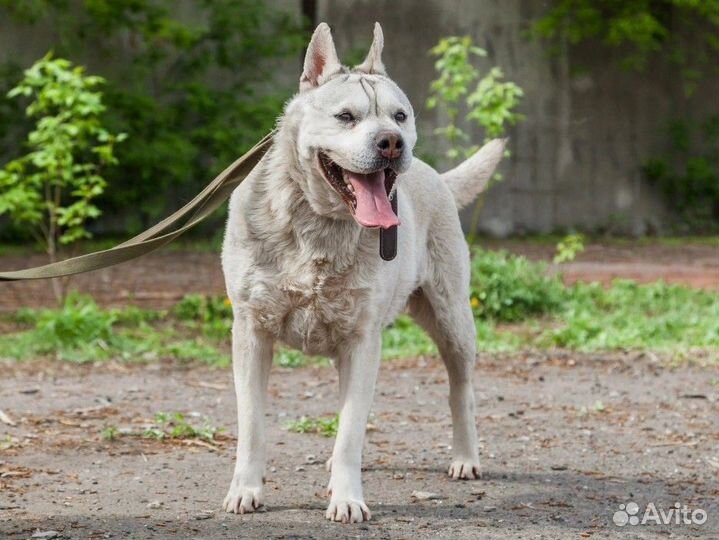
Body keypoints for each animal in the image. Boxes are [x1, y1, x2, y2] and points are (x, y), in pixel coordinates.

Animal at [221, 21, 506, 524]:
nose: (392, 141)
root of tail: (436, 175)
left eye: (400, 115)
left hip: (452, 318)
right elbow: (253, 423)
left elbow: (351, 428)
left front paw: (347, 498)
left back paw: (465, 457)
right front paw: (246, 490)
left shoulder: (362, 340)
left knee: (461, 390)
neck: (320, 224)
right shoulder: (251, 331)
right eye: (346, 117)